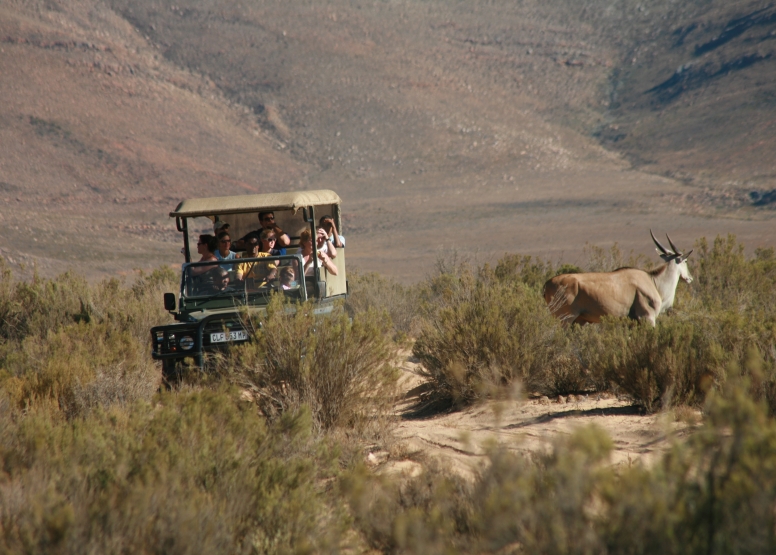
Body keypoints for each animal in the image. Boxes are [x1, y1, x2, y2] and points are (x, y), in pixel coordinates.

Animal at [544, 231, 696, 326]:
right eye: (686, 261)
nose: (690, 278)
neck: (653, 281)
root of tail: (547, 284)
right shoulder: (647, 318)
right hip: (565, 319)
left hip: (578, 321)